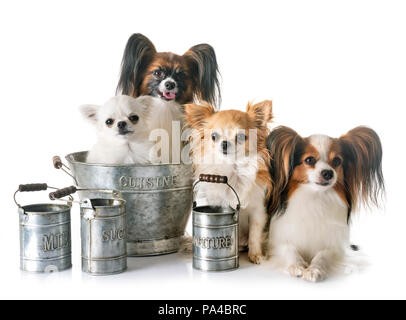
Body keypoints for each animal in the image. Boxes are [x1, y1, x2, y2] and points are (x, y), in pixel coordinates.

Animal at [184, 101, 272, 264]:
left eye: (241, 136)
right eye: (214, 136)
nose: (225, 143)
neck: (232, 169)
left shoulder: (258, 211)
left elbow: (254, 234)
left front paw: (255, 255)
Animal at [266, 126, 384, 282]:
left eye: (337, 161)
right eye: (309, 160)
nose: (328, 173)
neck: (316, 197)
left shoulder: (335, 245)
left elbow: (323, 254)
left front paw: (314, 269)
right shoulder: (279, 241)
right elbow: (289, 250)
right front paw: (297, 266)